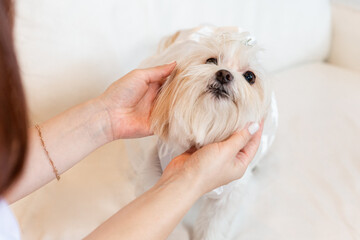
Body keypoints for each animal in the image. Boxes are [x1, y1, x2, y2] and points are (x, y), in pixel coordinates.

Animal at [134, 25, 278, 239]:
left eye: (250, 76)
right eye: (211, 61)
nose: (224, 74)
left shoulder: (228, 195)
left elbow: (213, 226)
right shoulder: (155, 181)